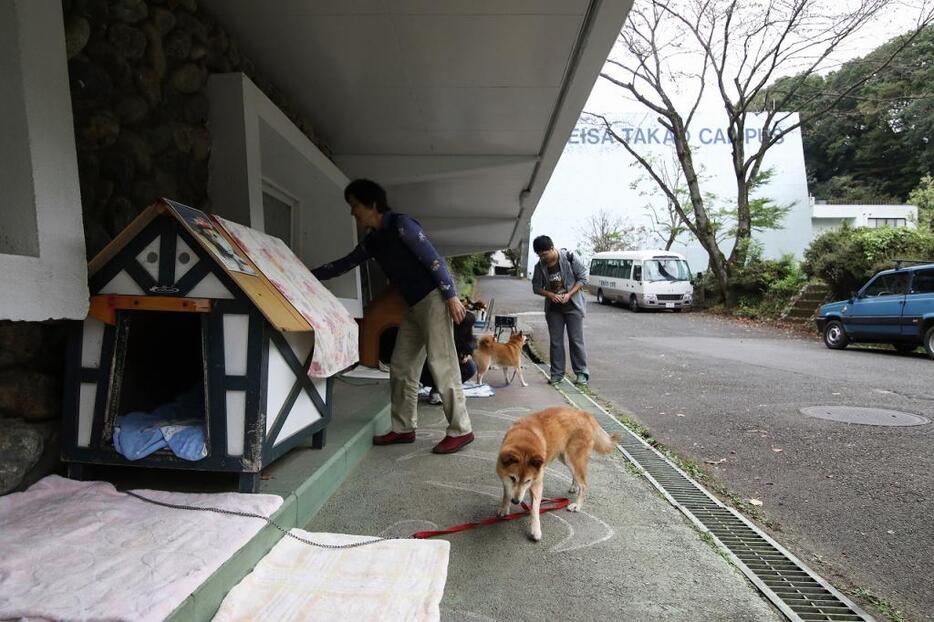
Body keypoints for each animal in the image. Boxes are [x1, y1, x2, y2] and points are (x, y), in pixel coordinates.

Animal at [498, 410, 620, 540]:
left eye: (528, 481)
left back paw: (577, 505)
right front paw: (504, 508)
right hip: (565, 458)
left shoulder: (537, 483)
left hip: (573, 458)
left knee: (584, 484)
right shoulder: (506, 480)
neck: (525, 439)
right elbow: (506, 494)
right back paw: (574, 487)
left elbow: (535, 509)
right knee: (576, 476)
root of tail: (584, 414)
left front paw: (536, 530)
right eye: (512, 478)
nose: (516, 501)